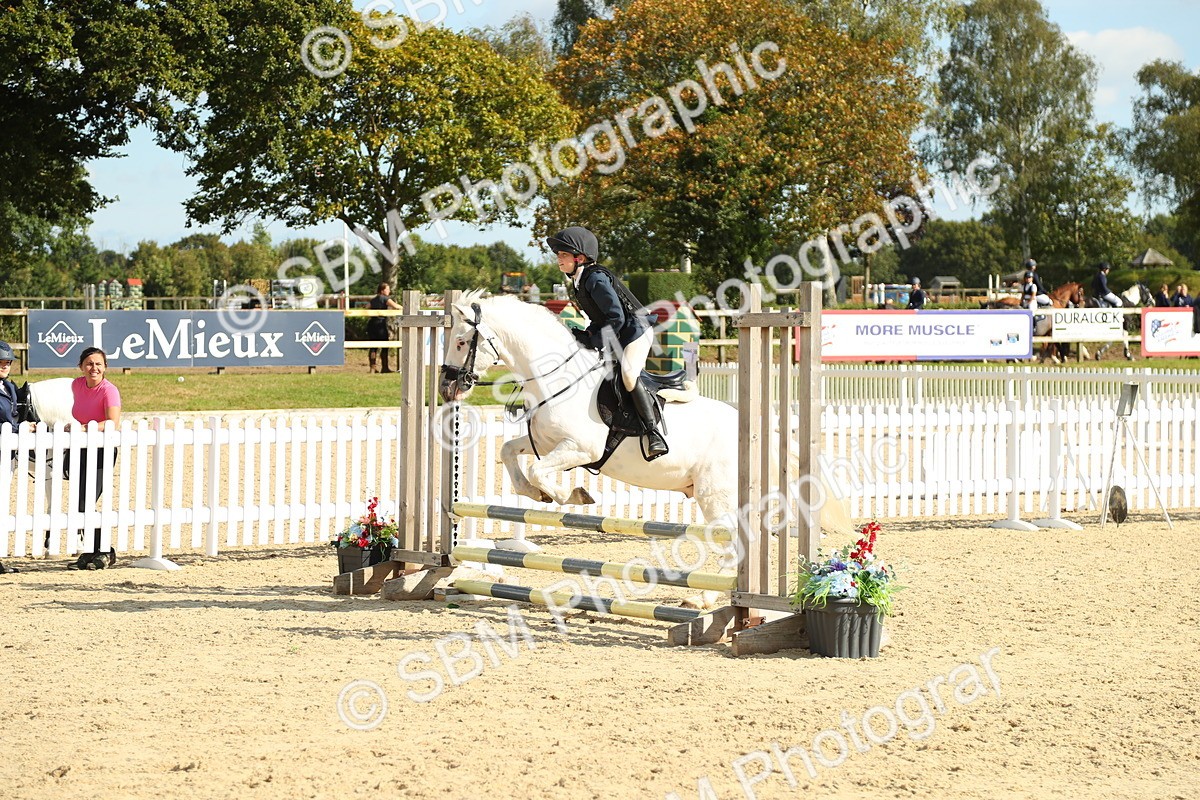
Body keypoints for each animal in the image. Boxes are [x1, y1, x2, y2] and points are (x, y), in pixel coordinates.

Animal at [437, 292, 853, 545]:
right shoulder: (545, 443)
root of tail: (754, 430)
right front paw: (539, 493)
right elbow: (509, 453)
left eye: (461, 341)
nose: (446, 387)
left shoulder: (580, 449)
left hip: (715, 493)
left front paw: (570, 494)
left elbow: (541, 471)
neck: (555, 377)